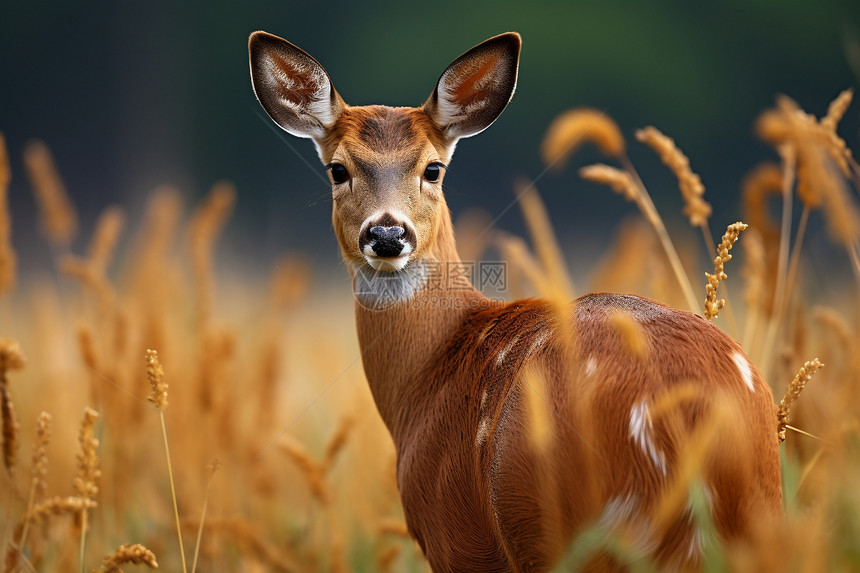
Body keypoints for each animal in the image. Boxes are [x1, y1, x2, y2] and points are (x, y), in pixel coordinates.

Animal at [247, 31, 780, 572]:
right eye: (338, 169)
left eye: (433, 168)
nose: (388, 234)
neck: (426, 378)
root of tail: (689, 420)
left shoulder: (454, 537)